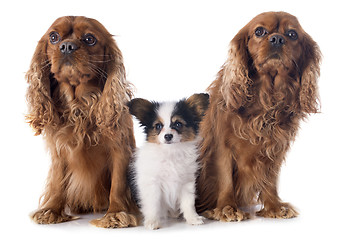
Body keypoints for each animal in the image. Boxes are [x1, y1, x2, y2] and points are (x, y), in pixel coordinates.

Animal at [129, 93, 208, 230]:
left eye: (178, 124)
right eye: (158, 126)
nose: (168, 136)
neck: (171, 152)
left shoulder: (186, 183)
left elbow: (188, 203)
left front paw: (193, 218)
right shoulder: (153, 184)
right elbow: (153, 203)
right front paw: (152, 221)